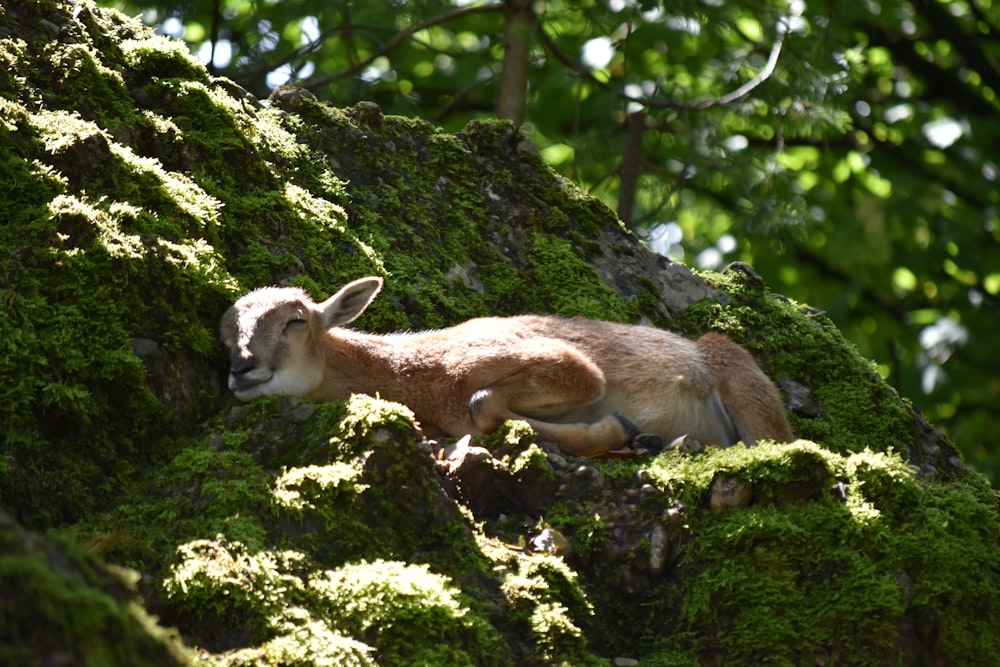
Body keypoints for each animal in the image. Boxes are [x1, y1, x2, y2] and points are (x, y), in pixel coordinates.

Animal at [219, 274, 788, 456]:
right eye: (226, 330)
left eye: (295, 320)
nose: (242, 368)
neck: (419, 373)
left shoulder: (567, 366)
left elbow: (483, 404)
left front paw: (618, 428)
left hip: (738, 376)